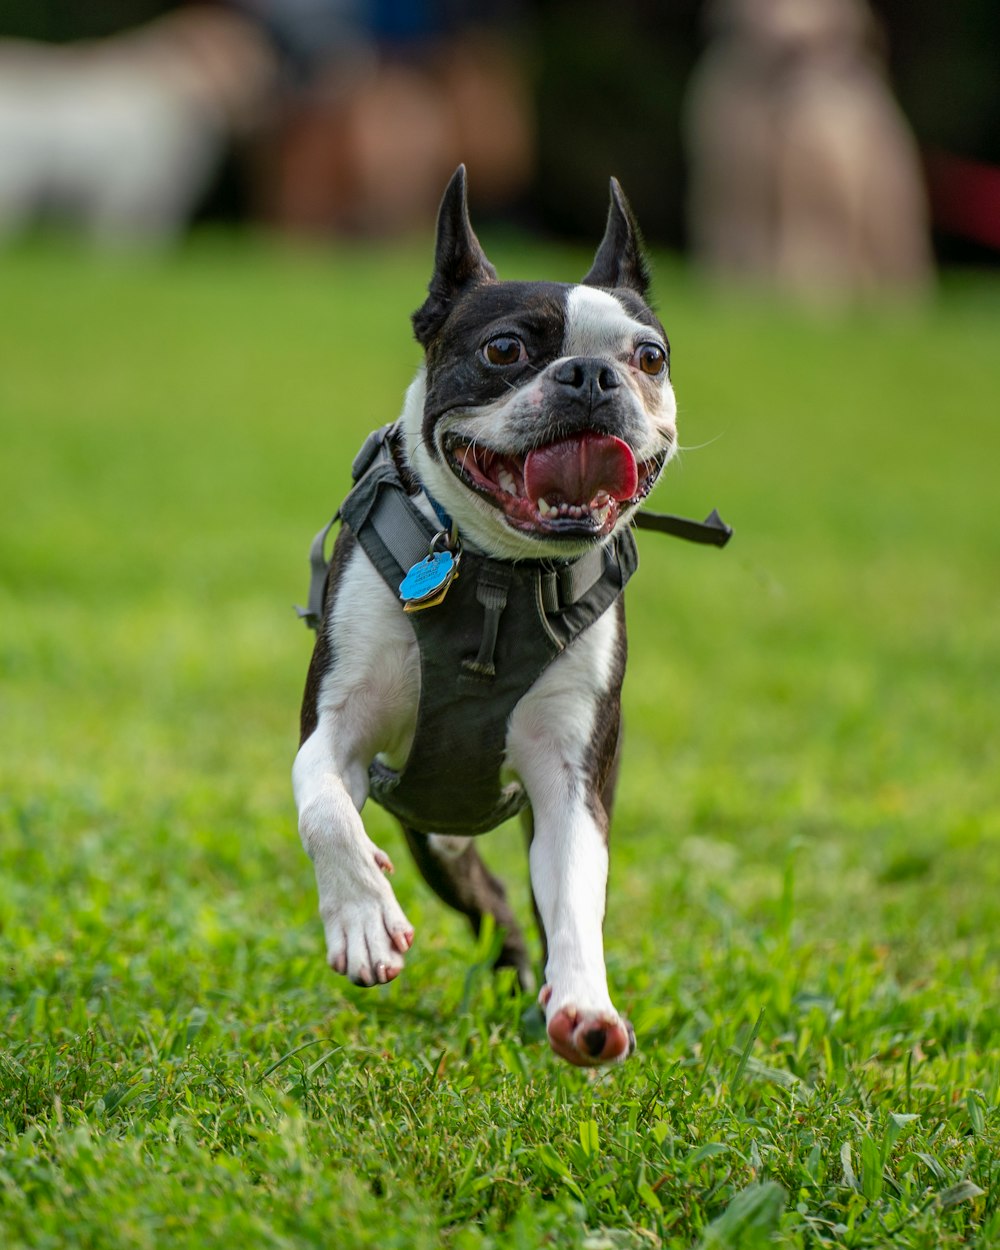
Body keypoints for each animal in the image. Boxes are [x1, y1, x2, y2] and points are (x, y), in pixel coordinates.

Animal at [291, 166, 680, 1065]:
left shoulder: (572, 780)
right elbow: (323, 806)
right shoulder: (335, 725)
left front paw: (584, 1004)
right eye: (505, 349)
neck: (497, 578)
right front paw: (363, 920)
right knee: (488, 898)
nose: (590, 374)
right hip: (436, 839)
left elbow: (574, 898)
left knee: (522, 902)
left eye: (649, 357)